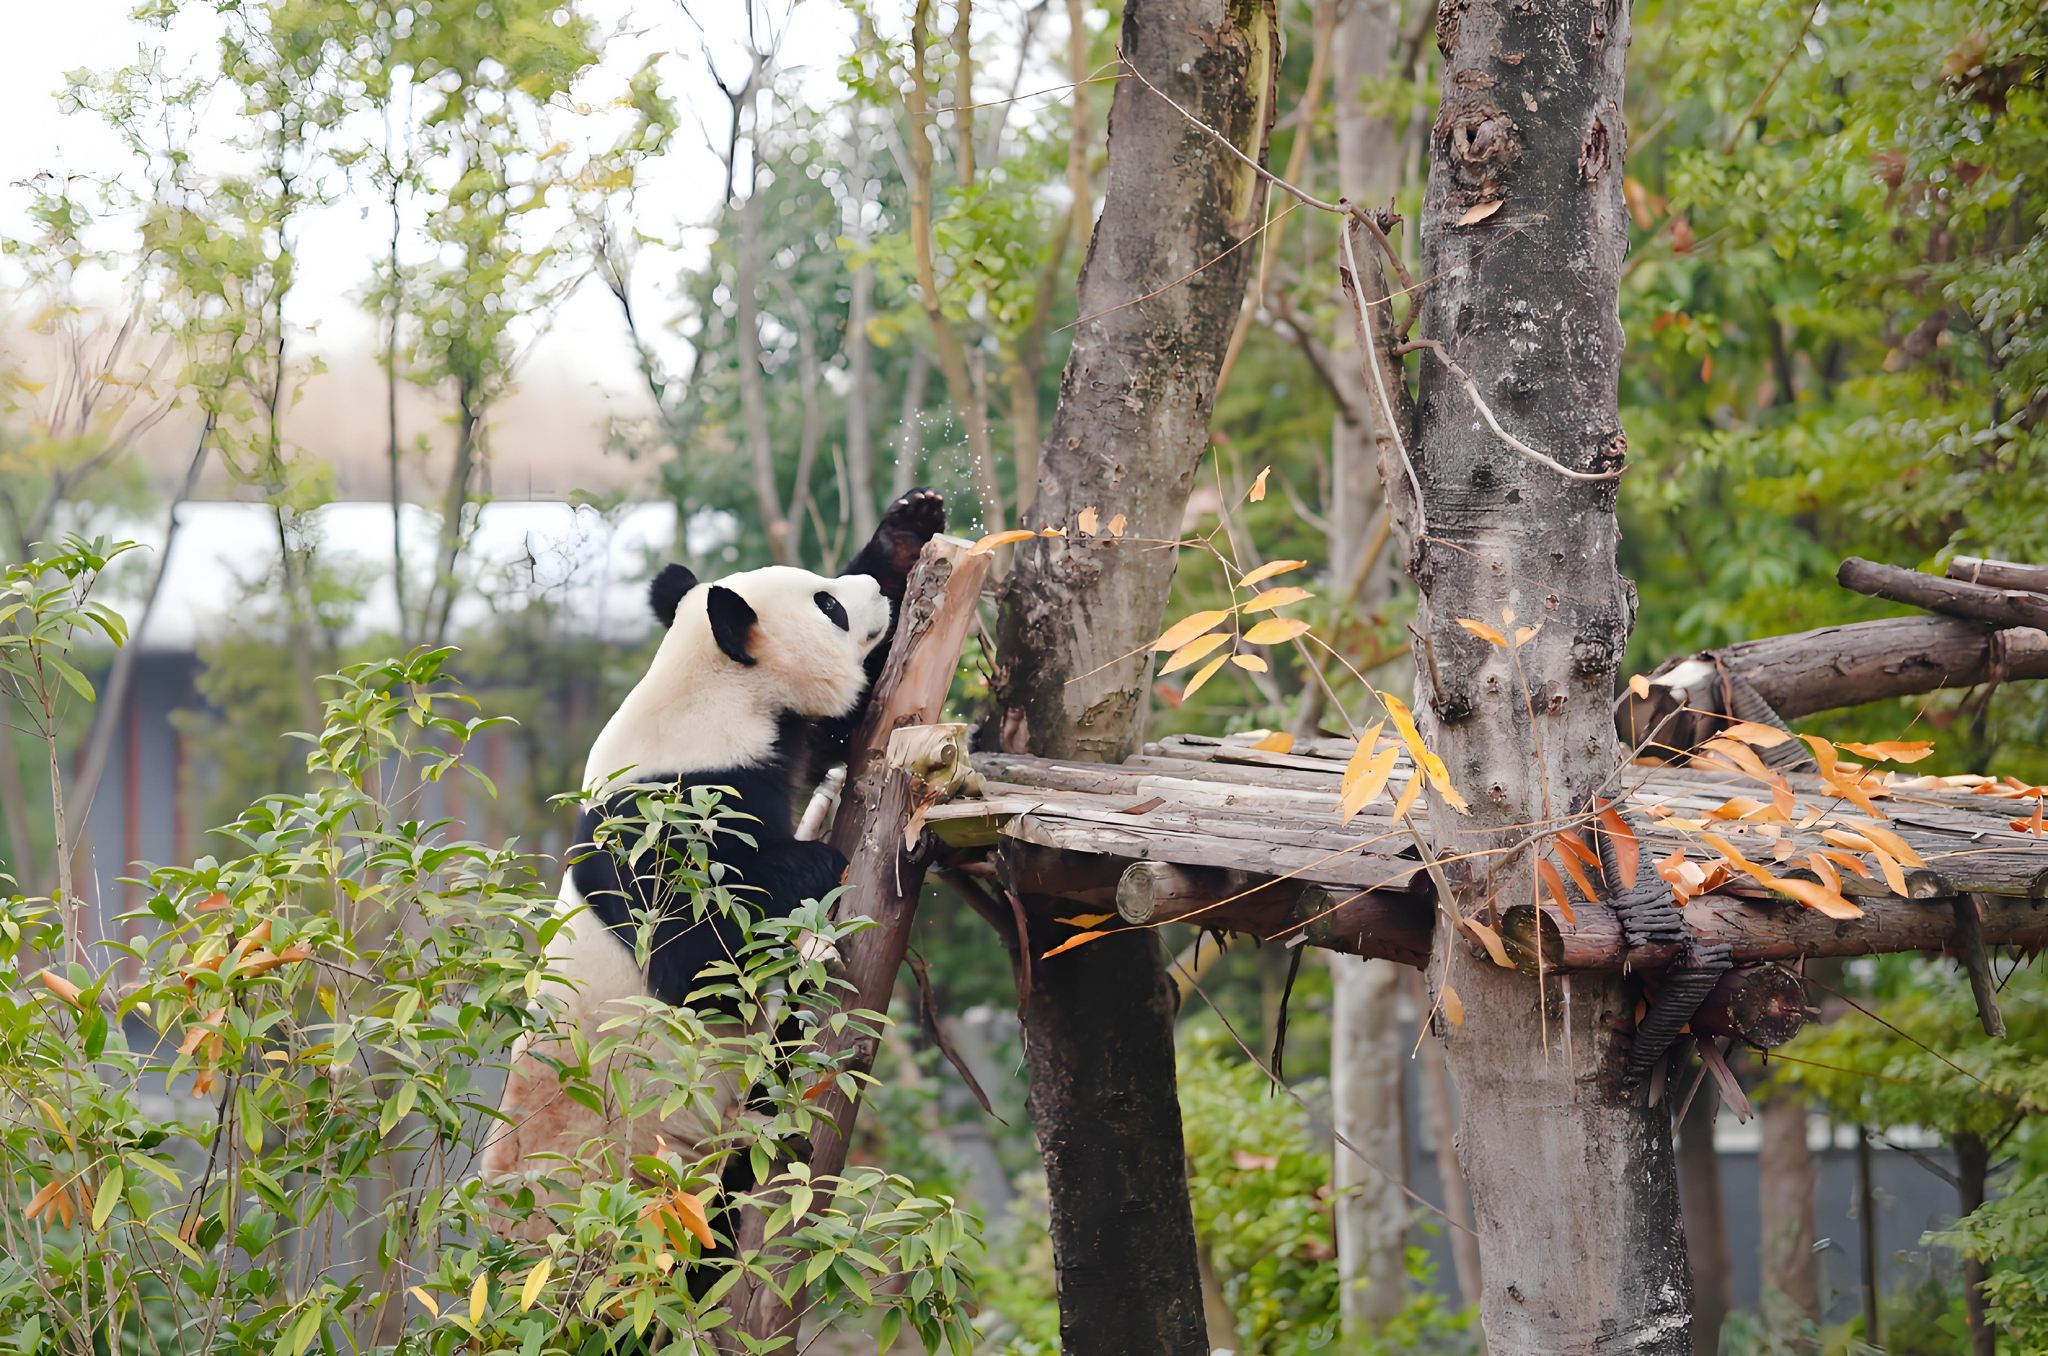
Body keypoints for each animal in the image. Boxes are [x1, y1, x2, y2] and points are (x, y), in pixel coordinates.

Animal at [477, 489, 946, 1223]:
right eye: (828, 605)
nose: (871, 594)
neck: (710, 693)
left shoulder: (779, 738)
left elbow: (849, 725)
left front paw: (909, 526)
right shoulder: (668, 817)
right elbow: (697, 960)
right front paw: (811, 868)